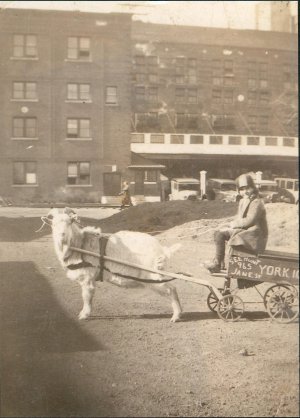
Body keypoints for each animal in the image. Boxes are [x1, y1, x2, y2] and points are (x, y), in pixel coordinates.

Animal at [48, 209, 182, 324]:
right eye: (53, 224)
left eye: (69, 222)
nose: (62, 236)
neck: (80, 245)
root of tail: (161, 250)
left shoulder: (87, 278)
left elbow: (86, 297)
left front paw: (83, 315)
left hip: (151, 276)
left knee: (171, 289)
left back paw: (176, 316)